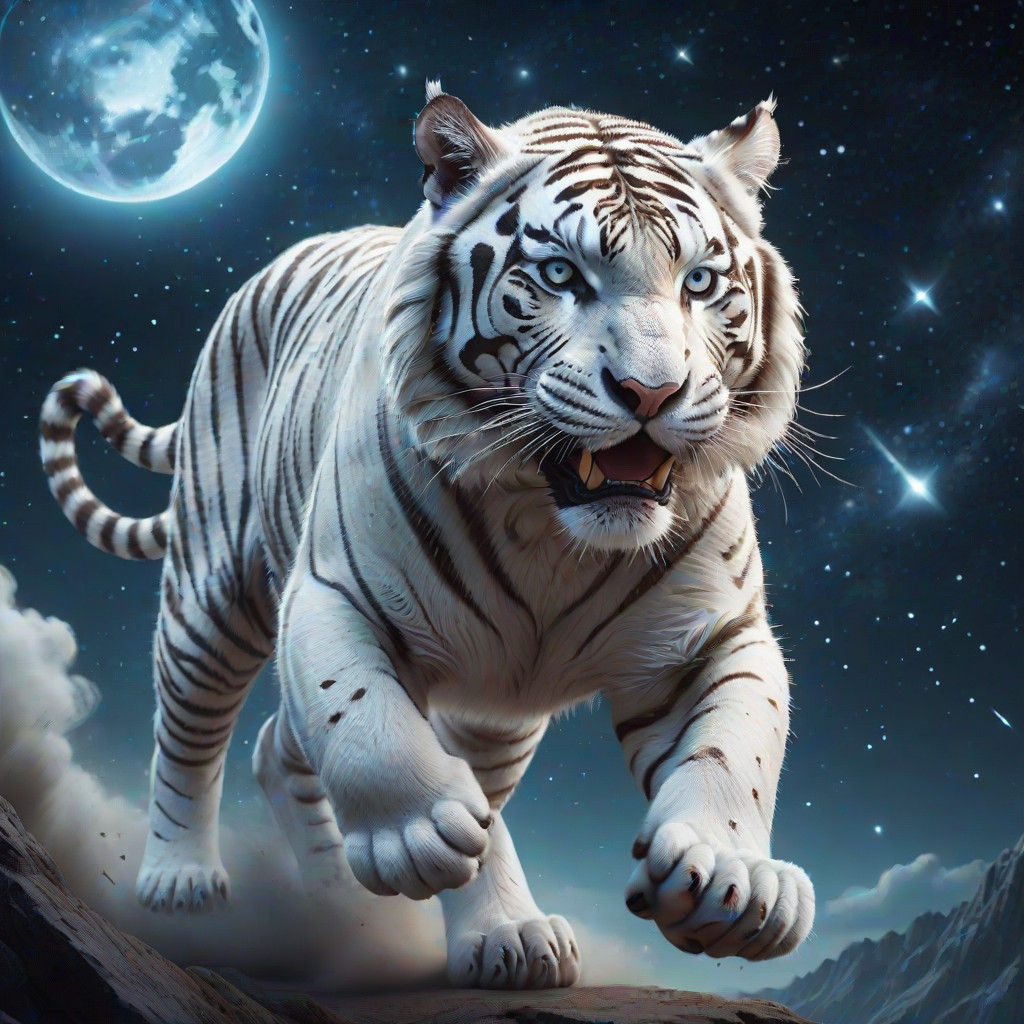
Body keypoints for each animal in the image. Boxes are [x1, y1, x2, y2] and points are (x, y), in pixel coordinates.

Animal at [39, 81, 815, 988]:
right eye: (560, 274)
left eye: (699, 281)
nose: (652, 392)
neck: (554, 530)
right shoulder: (331, 593)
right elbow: (365, 722)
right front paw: (420, 836)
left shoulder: (715, 634)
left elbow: (739, 743)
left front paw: (730, 877)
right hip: (212, 590)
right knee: (193, 730)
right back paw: (183, 883)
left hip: (497, 713)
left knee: (281, 746)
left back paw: (353, 910)